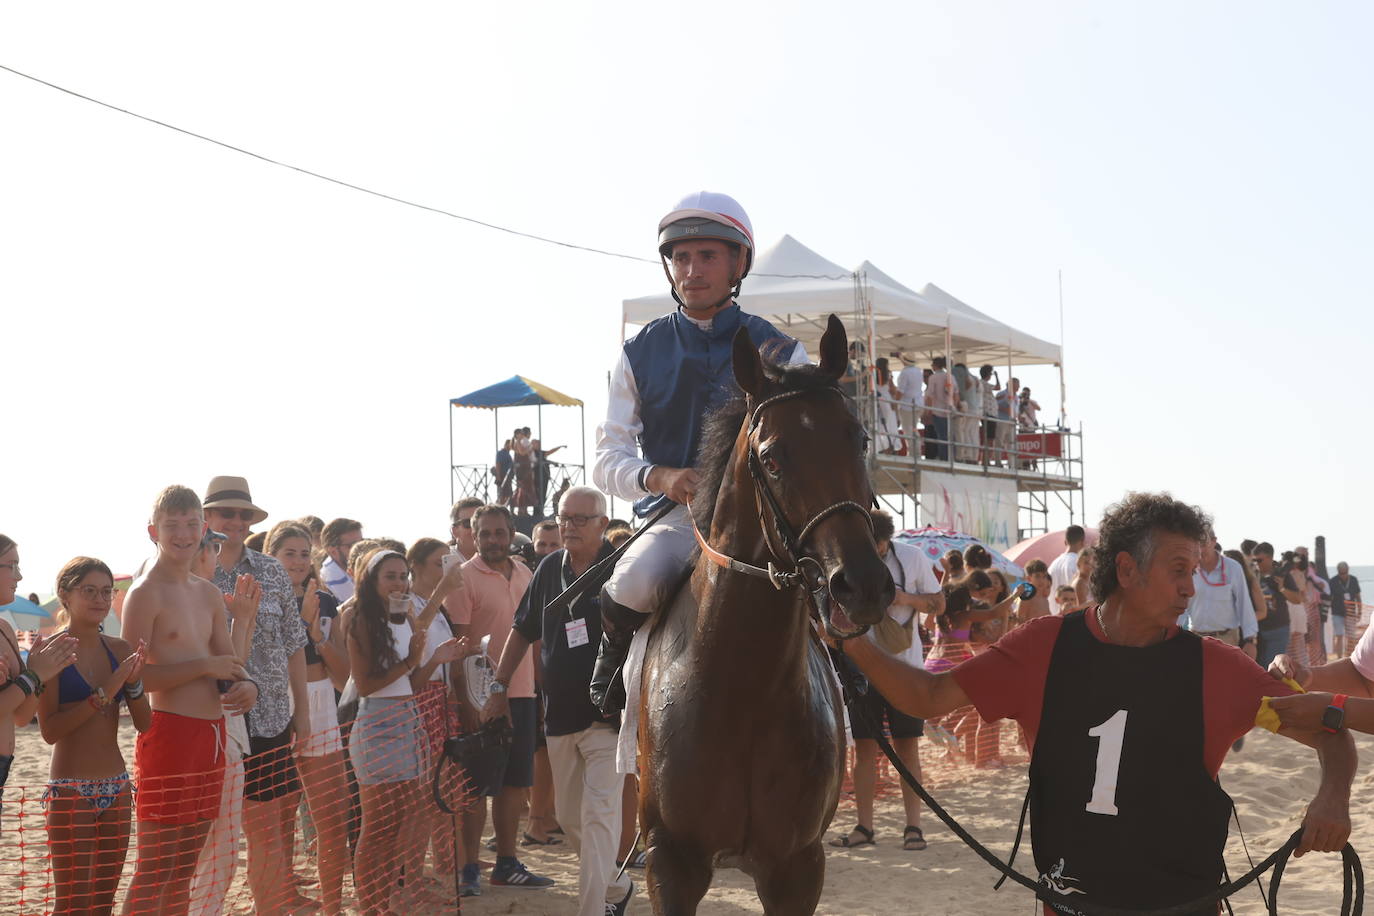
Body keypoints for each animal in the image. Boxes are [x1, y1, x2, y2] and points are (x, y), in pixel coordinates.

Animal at [637, 314, 895, 915]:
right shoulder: (671, 861)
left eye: (859, 438)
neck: (742, 694)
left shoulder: (795, 865)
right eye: (773, 458)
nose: (862, 585)